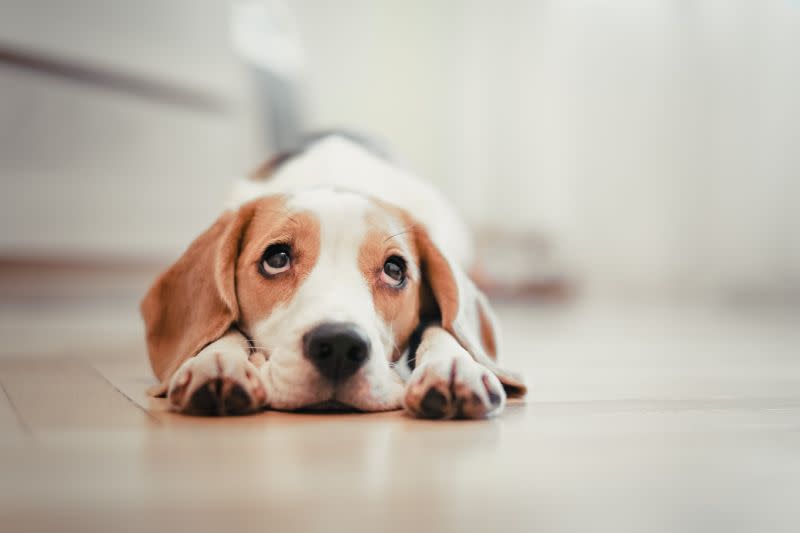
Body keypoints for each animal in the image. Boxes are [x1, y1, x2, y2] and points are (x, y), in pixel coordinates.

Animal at [139, 134, 524, 420]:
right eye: (276, 258)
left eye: (395, 270)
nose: (339, 345)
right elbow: (225, 326)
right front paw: (217, 361)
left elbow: (443, 327)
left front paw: (453, 366)